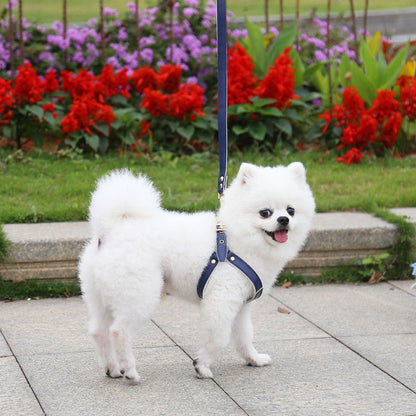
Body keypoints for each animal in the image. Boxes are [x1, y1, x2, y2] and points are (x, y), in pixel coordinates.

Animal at [78, 162, 316, 384]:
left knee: (98, 330)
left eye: (291, 210)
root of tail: (111, 230)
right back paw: (130, 371)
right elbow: (219, 337)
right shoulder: (222, 299)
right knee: (119, 331)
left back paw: (112, 368)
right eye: (265, 212)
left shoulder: (241, 306)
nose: (284, 220)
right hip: (140, 293)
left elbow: (244, 335)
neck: (236, 239)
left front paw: (253, 359)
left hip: (101, 295)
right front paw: (202, 366)